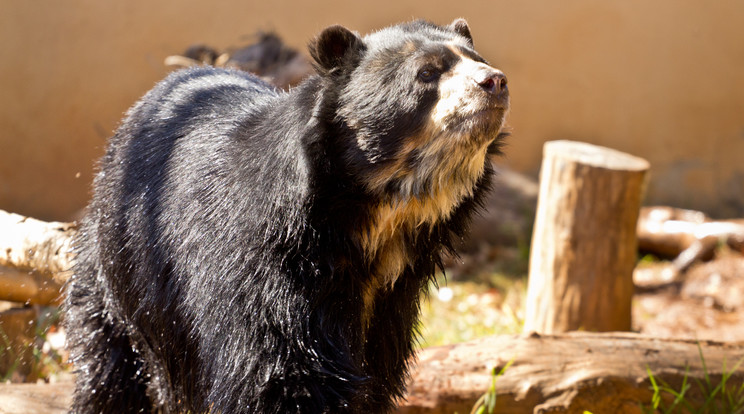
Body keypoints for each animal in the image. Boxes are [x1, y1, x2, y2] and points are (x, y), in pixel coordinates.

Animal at [64, 17, 508, 412]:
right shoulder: (265, 263)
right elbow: (279, 373)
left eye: (477, 58)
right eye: (428, 72)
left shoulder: (390, 303)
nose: (495, 81)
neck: (373, 219)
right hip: (123, 272)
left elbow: (375, 379)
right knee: (111, 374)